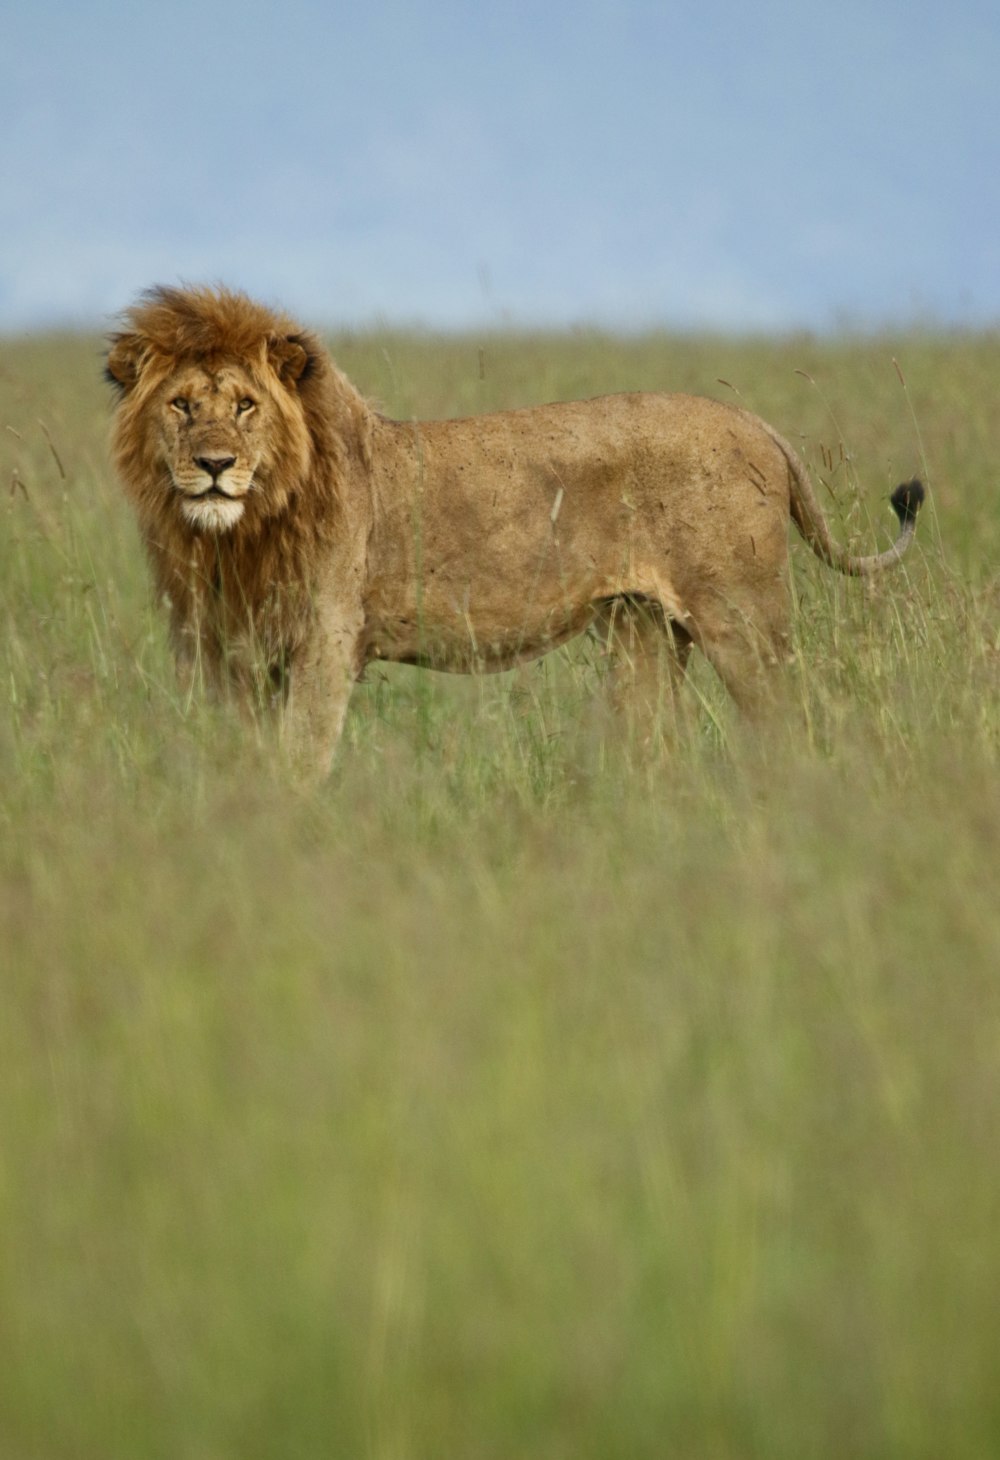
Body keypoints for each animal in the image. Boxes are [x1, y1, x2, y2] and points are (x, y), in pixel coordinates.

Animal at [105, 286, 922, 782]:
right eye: (181, 405)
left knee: (793, 724)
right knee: (655, 745)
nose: (214, 466)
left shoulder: (326, 639)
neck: (238, 534)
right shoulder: (225, 648)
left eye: (245, 406)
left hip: (743, 620)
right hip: (642, 630)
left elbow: (300, 757)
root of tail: (757, 422)